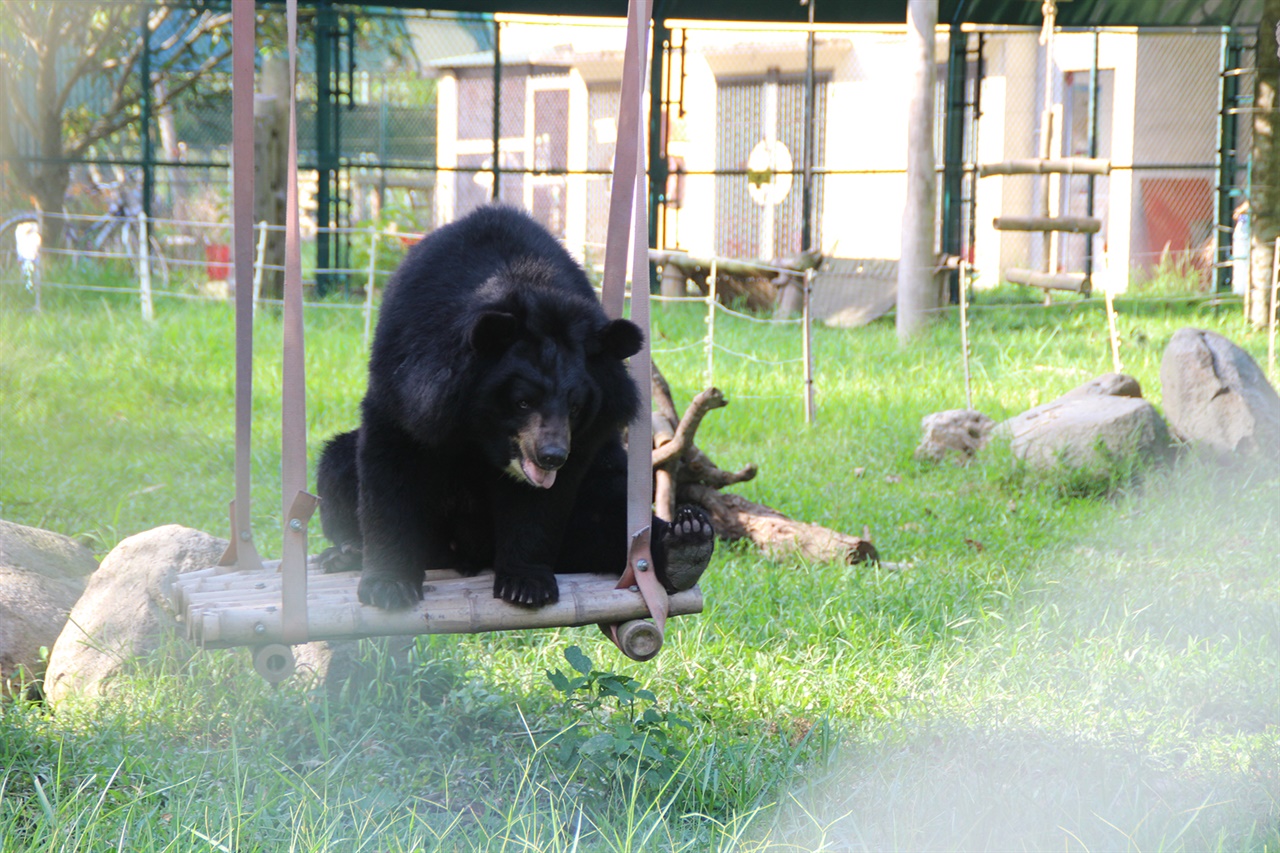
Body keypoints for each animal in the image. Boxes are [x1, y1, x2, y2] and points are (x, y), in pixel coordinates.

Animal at [314, 203, 716, 607]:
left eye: (575, 407)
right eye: (522, 402)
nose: (551, 456)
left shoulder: (589, 432)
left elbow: (542, 503)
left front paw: (525, 584)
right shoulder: (407, 373)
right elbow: (392, 464)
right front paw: (389, 586)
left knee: (612, 506)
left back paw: (684, 543)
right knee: (337, 463)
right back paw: (343, 553)